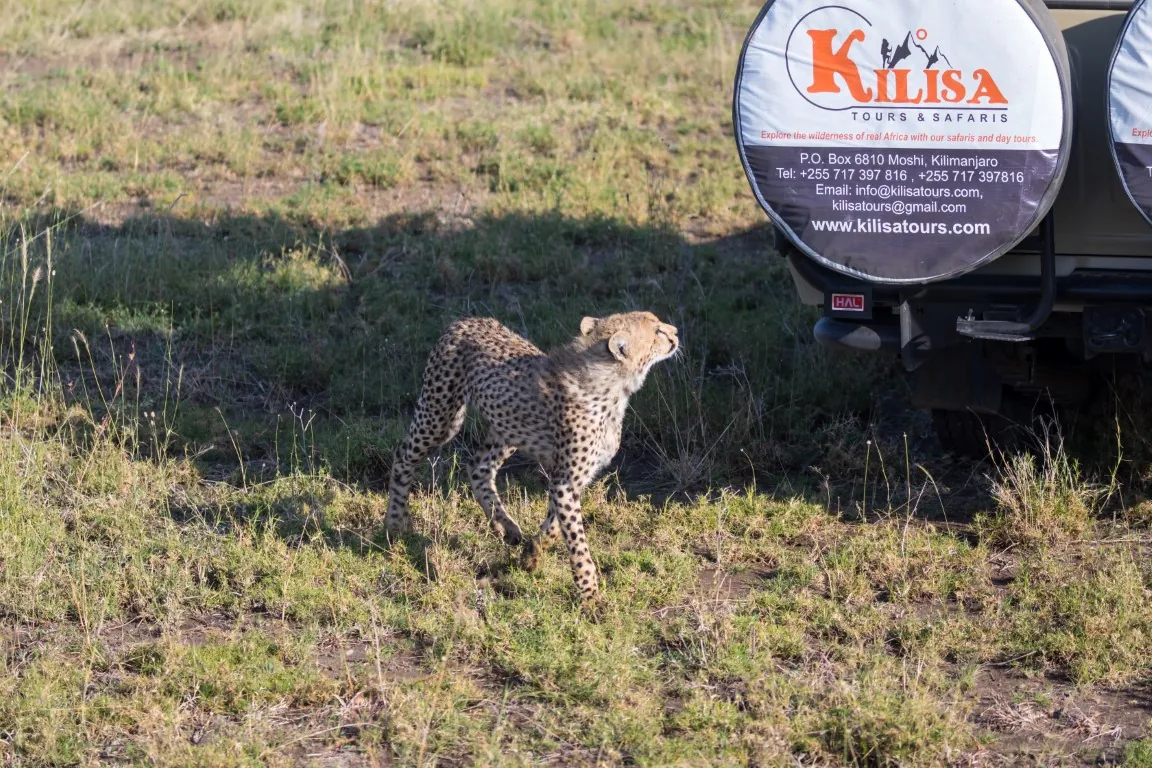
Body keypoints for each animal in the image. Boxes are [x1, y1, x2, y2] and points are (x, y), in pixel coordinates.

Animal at [385, 311, 679, 606]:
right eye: (657, 331)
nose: (675, 332)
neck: (611, 384)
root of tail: (466, 321)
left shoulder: (570, 480)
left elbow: (554, 526)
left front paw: (531, 556)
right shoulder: (565, 482)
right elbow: (577, 543)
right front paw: (590, 597)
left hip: (507, 427)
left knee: (479, 467)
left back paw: (508, 528)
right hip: (442, 416)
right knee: (403, 455)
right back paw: (395, 523)